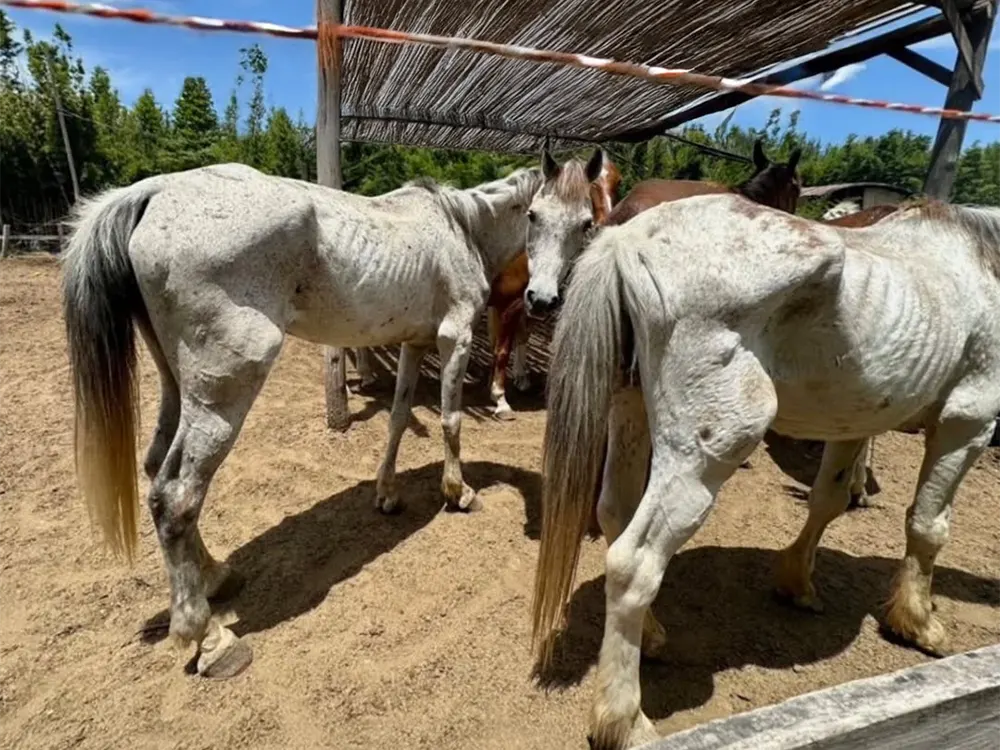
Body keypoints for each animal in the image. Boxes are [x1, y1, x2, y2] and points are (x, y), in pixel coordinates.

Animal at [60, 148, 603, 680]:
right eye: (533, 215)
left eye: (586, 222)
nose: (542, 299)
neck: (459, 226)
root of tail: (153, 191)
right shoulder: (456, 339)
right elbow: (450, 422)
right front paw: (458, 492)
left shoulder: (413, 343)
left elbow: (398, 418)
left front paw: (387, 494)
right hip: (225, 389)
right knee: (176, 497)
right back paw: (209, 638)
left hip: (177, 383)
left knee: (158, 469)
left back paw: (216, 576)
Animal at [484, 154, 622, 419]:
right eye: (533, 215)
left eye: (617, 181)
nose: (605, 224)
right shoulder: (508, 305)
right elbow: (502, 350)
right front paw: (500, 400)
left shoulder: (526, 302)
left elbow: (523, 336)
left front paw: (522, 379)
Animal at [533, 193, 1000, 749]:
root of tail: (626, 239)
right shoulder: (967, 421)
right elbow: (928, 526)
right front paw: (918, 620)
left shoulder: (852, 423)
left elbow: (829, 500)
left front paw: (796, 582)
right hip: (706, 455)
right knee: (634, 563)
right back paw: (623, 720)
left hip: (630, 414)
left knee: (614, 515)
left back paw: (651, 636)